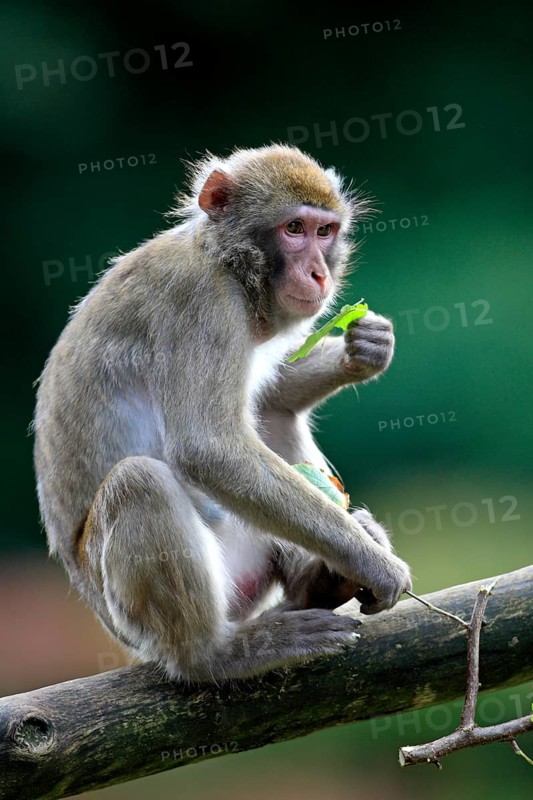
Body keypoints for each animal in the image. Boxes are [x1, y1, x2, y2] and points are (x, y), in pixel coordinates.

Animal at [32, 144, 412, 683]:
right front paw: (376, 564)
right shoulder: (201, 301)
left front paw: (364, 348)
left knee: (275, 418)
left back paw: (318, 583)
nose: (319, 273)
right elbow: (208, 447)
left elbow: (270, 398)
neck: (225, 260)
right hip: (135, 615)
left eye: (325, 232)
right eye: (294, 228)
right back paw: (217, 654)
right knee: (139, 481)